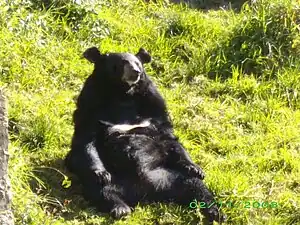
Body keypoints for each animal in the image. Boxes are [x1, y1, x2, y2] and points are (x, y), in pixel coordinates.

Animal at [65, 46, 225, 222]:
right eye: (123, 63)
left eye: (137, 63)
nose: (136, 72)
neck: (122, 94)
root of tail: (148, 192)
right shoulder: (90, 103)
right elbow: (87, 139)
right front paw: (101, 174)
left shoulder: (154, 103)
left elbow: (169, 137)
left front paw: (196, 168)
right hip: (115, 179)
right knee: (101, 190)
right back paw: (120, 209)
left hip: (171, 176)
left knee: (196, 187)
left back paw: (216, 213)